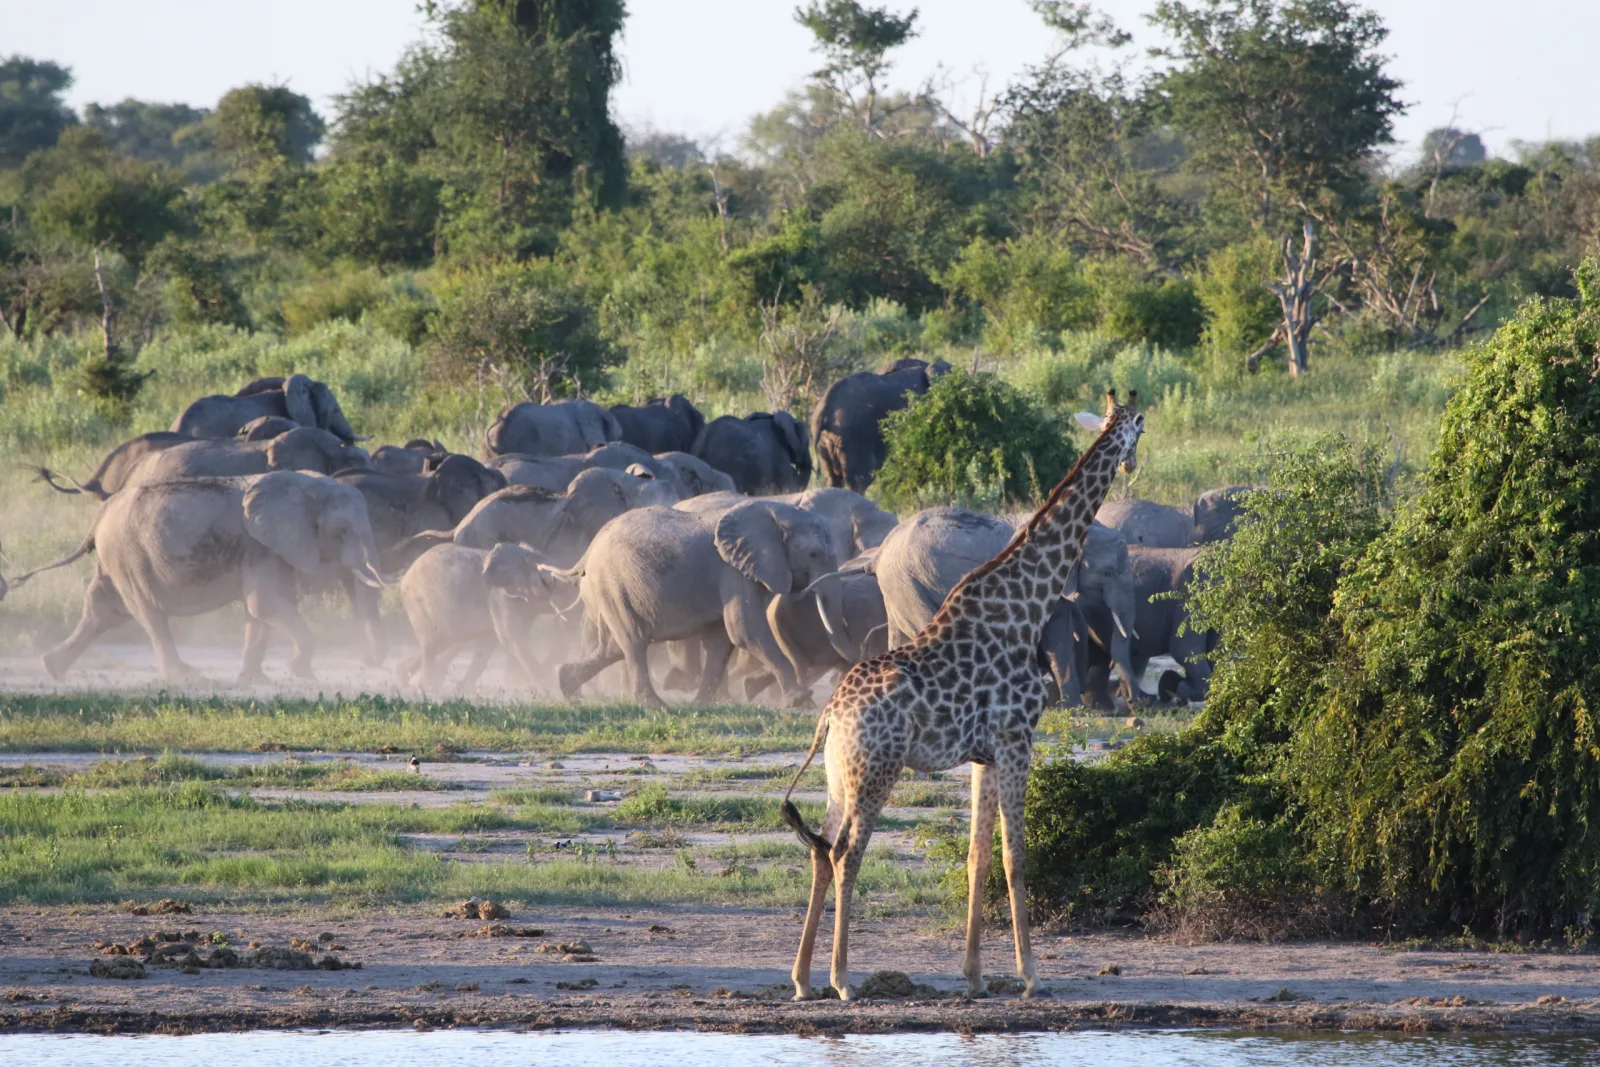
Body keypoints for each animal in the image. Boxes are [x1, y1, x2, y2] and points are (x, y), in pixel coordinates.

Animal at [8, 470, 382, 682]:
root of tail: (100, 516)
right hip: (129, 554)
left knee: (104, 610)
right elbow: (266, 604)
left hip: (115, 557)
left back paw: (52, 669)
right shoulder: (261, 544)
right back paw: (185, 676)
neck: (307, 484)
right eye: (342, 531)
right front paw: (299, 674)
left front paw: (254, 681)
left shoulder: (265, 548)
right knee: (147, 612)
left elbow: (260, 612)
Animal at [398, 542, 563, 691]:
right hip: (419, 604)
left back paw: (406, 676)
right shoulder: (500, 596)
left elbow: (489, 642)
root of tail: (405, 576)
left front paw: (465, 692)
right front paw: (552, 692)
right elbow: (511, 640)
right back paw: (427, 688)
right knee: (433, 644)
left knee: (448, 642)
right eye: (548, 582)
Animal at [552, 499, 839, 707]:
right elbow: (745, 631)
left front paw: (704, 705)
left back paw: (567, 686)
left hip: (607, 591)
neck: (772, 510)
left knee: (613, 647)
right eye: (813, 554)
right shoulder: (732, 570)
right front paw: (801, 702)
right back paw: (654, 706)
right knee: (634, 641)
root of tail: (586, 553)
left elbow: (721, 640)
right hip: (612, 585)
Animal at [781, 388, 1145, 1001]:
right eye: (1139, 428)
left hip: (840, 774)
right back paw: (843, 979)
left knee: (820, 848)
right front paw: (1031, 975)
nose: (1133, 465)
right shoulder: (1018, 738)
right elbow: (1016, 855)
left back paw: (804, 980)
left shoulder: (984, 754)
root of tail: (829, 714)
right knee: (847, 852)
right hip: (878, 769)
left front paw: (974, 976)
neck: (1029, 602)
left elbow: (978, 857)